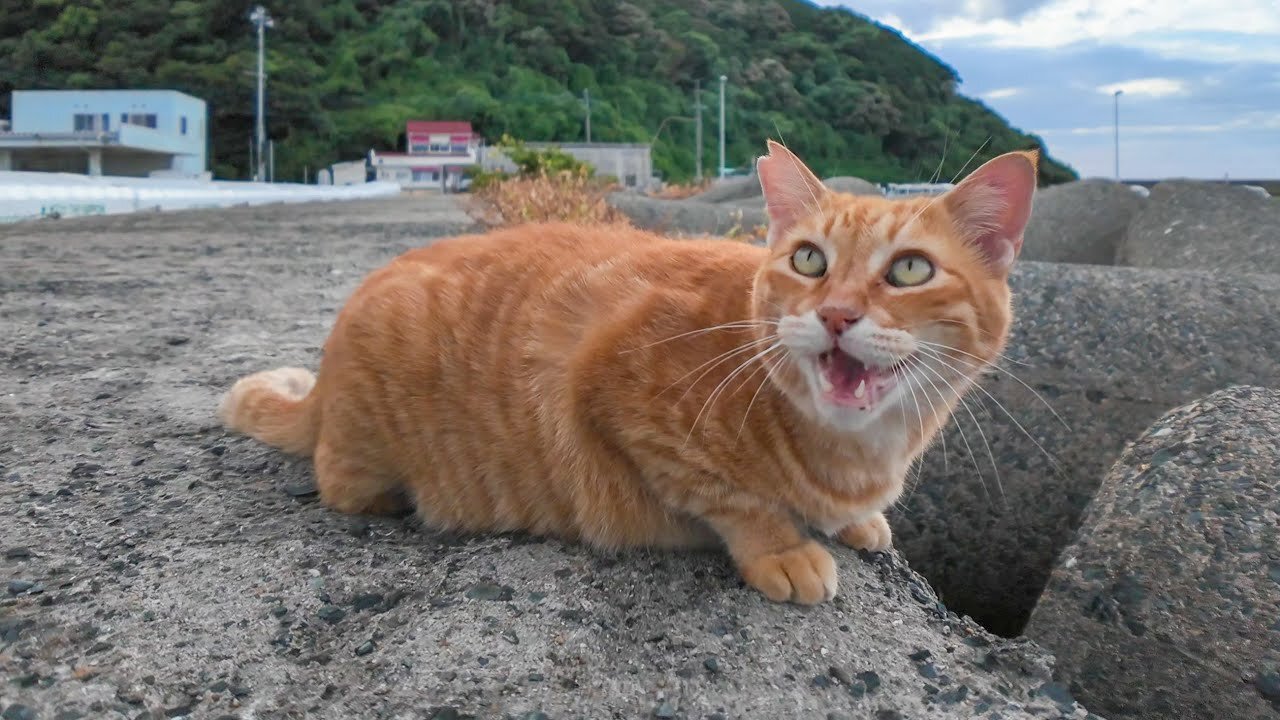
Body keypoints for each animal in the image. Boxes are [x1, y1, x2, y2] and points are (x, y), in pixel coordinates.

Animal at [222, 140, 1039, 599]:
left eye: (910, 270)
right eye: (809, 260)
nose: (837, 314)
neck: (859, 451)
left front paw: (858, 520)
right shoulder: (617, 392)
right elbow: (733, 499)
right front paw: (784, 547)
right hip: (364, 465)